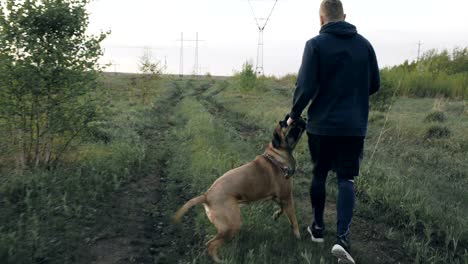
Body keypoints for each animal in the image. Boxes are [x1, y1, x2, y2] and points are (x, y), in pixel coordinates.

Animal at [174, 118, 306, 262]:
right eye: (287, 123)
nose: (303, 118)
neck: (277, 155)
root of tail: (206, 196)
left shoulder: (278, 197)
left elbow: (282, 209)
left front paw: (276, 215)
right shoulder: (287, 196)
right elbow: (294, 219)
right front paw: (298, 237)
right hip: (233, 225)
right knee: (210, 245)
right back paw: (219, 260)